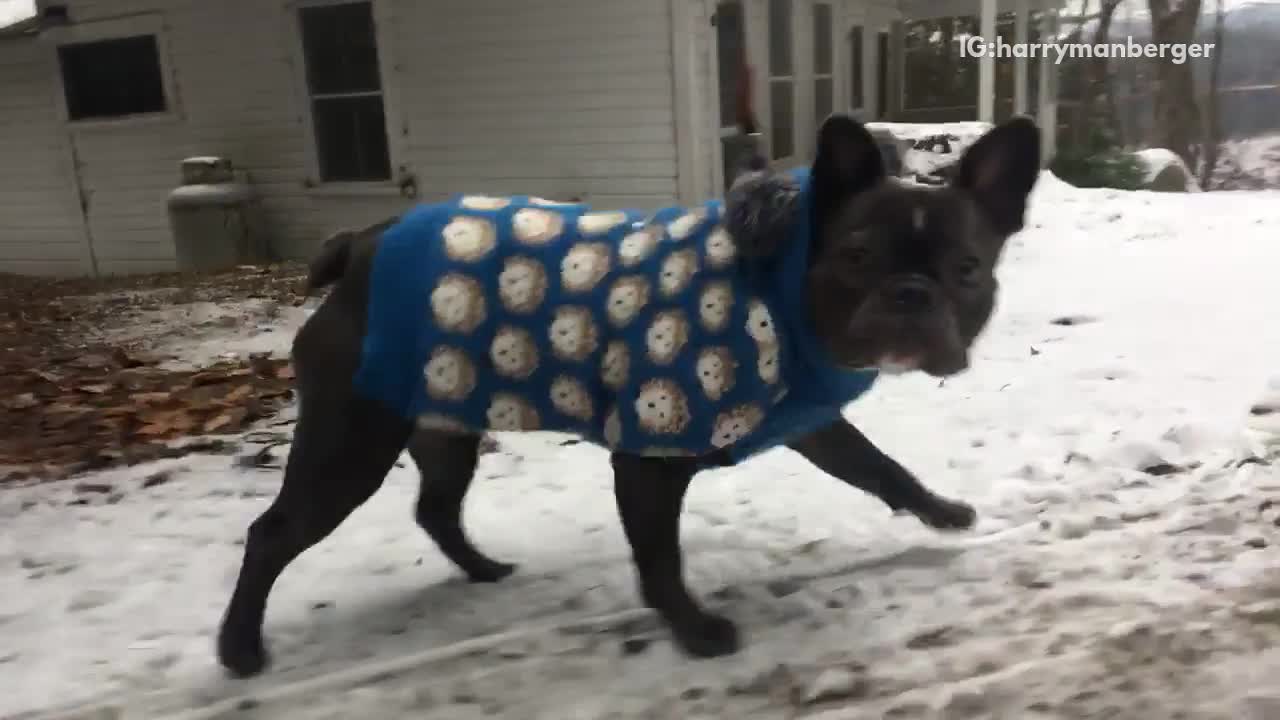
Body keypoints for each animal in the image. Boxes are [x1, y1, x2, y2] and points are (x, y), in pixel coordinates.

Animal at [217, 114, 1039, 676]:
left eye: (969, 269)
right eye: (857, 256)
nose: (911, 294)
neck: (778, 286)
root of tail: (358, 246)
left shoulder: (811, 423)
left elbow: (879, 467)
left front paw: (941, 512)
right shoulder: (650, 451)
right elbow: (660, 558)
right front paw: (696, 632)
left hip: (444, 427)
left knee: (436, 508)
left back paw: (483, 571)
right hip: (350, 446)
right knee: (272, 533)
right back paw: (238, 649)